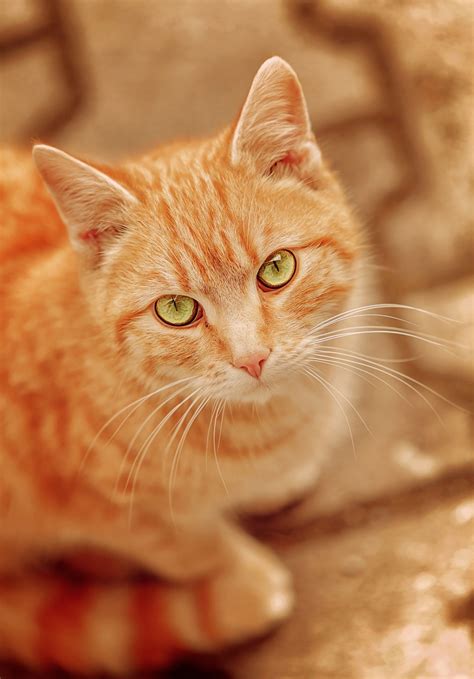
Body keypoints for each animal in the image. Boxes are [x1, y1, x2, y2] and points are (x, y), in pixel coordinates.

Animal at [0, 59, 362, 676]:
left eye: (277, 269)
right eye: (175, 310)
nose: (251, 358)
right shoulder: (100, 506)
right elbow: (193, 549)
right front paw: (239, 586)